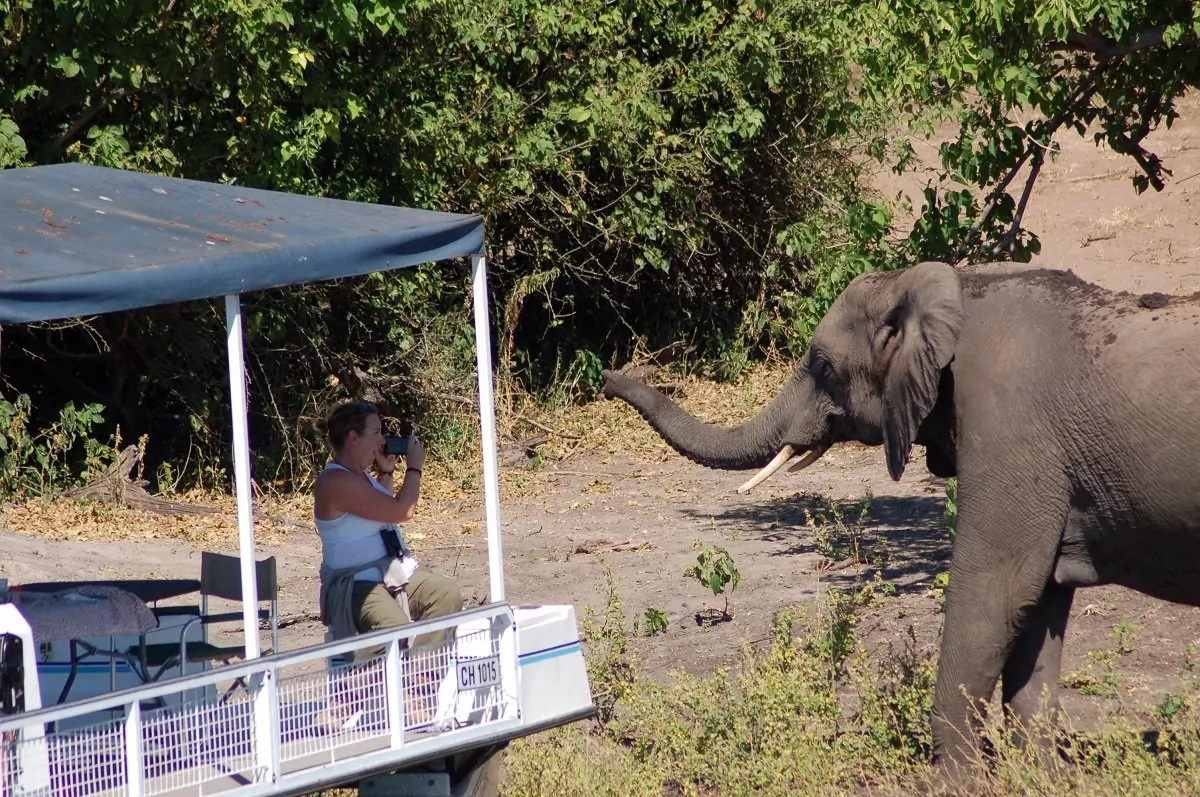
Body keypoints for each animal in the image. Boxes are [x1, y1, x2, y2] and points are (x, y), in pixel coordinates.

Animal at [599, 260, 1200, 773]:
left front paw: (956, 780)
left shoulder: (1010, 431)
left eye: (823, 367)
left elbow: (994, 595)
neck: (949, 290)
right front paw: (1039, 778)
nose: (608, 377)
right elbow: (1037, 612)